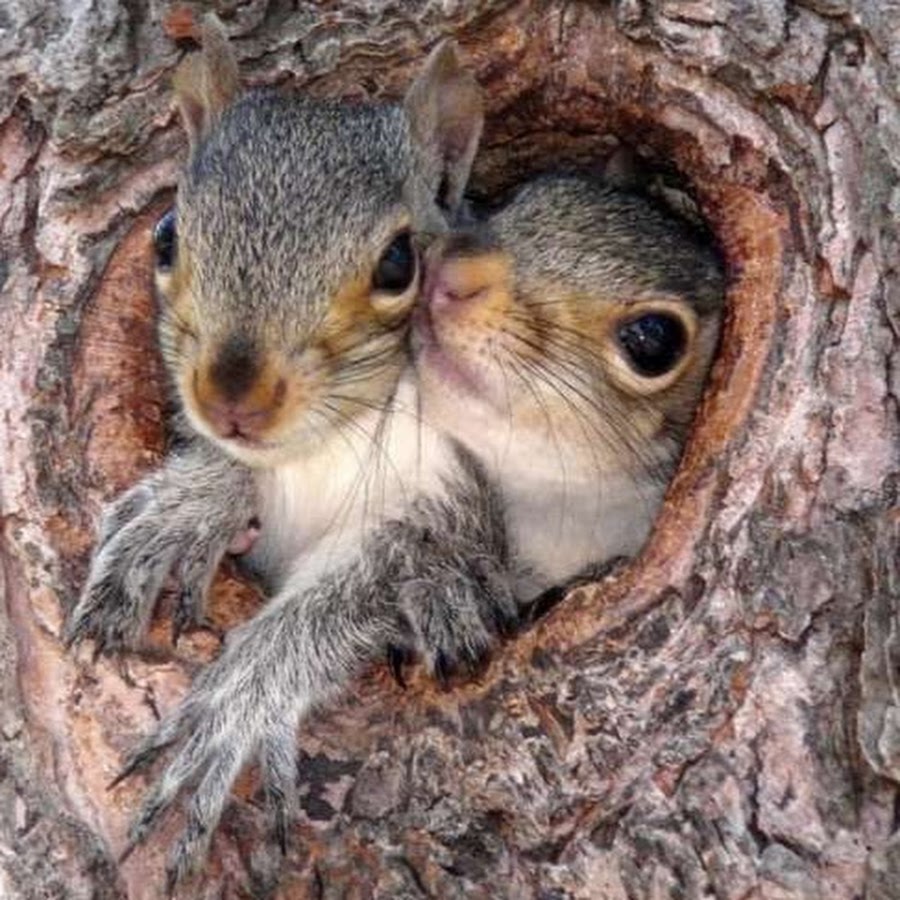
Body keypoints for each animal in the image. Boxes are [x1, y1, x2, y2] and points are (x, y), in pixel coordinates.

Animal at [65, 17, 517, 888]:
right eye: (166, 238)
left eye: (399, 264)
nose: (231, 397)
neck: (328, 442)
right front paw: (188, 506)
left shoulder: (454, 495)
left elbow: (359, 588)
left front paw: (240, 700)